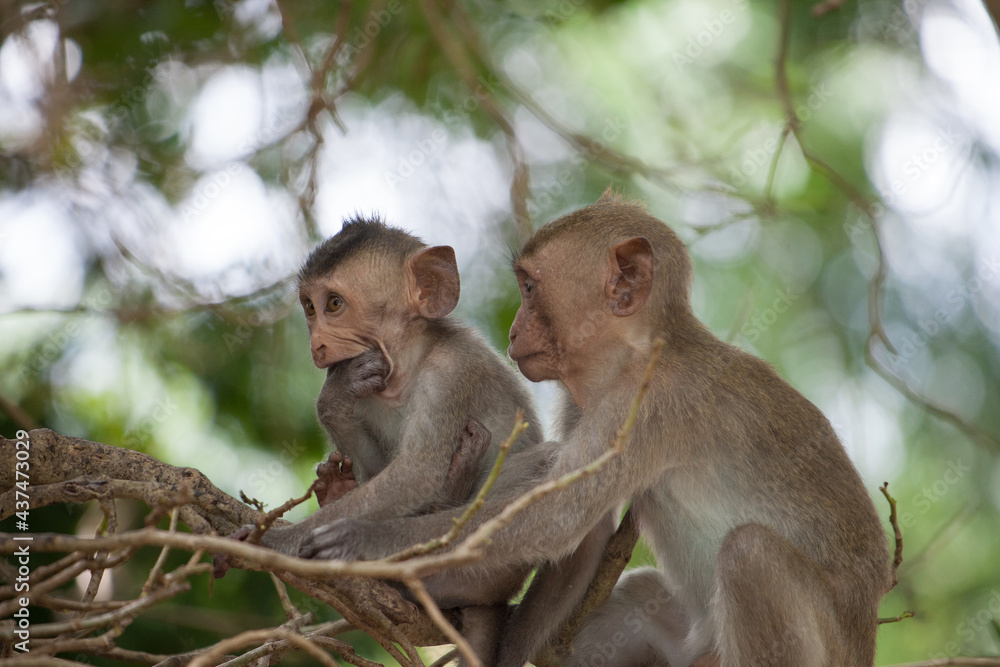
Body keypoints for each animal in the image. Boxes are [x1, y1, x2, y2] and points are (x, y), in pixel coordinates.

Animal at [302, 193, 892, 667]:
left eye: (529, 287)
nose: (513, 330)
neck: (634, 356)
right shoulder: (581, 402)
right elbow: (577, 531)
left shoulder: (646, 403)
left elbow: (553, 517)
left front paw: (352, 539)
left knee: (751, 554)